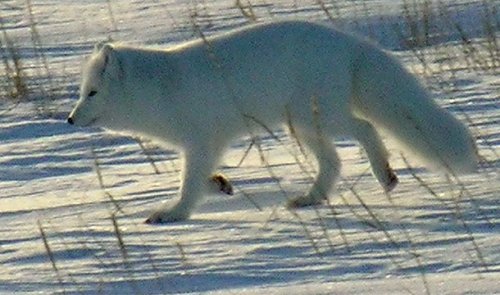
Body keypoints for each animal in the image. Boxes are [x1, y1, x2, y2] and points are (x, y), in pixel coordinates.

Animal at [66, 21, 476, 224]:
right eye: (82, 92)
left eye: (92, 93)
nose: (69, 119)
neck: (163, 89)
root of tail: (348, 41)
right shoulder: (207, 145)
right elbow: (201, 178)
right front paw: (220, 185)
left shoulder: (201, 140)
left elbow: (188, 182)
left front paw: (174, 214)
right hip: (303, 126)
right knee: (333, 162)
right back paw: (310, 198)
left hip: (318, 117)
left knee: (365, 129)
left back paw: (385, 175)